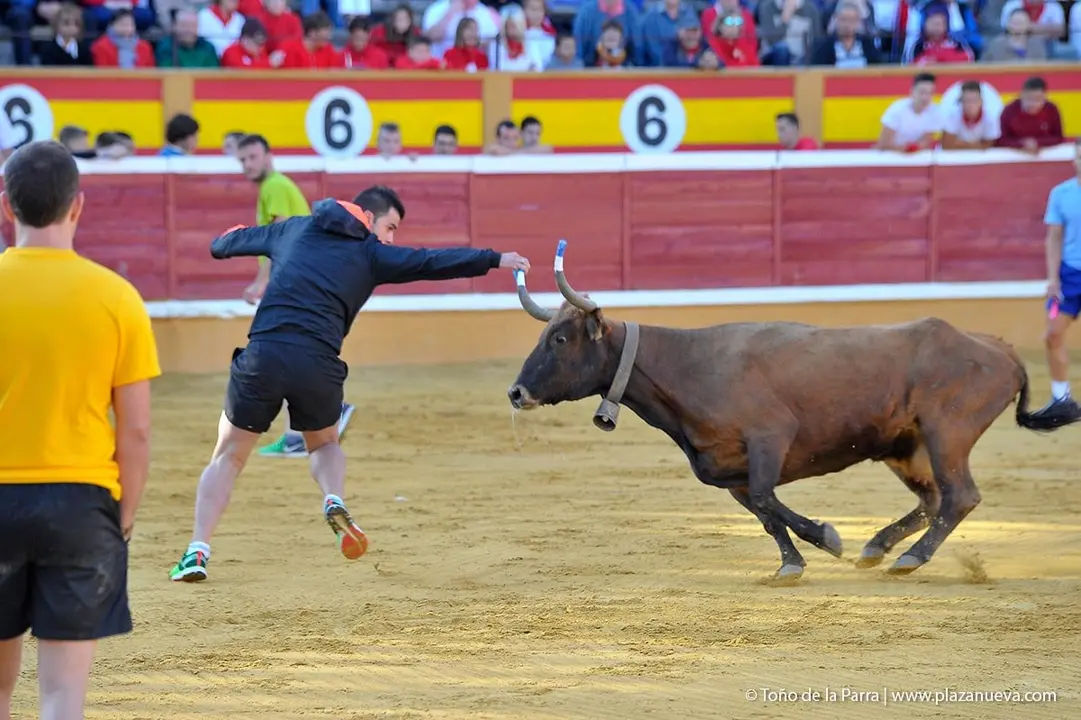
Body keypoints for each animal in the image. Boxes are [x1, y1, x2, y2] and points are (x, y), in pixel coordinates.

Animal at [507, 241, 1081, 582]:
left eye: (560, 339)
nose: (516, 393)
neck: (686, 366)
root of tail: (998, 348)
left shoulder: (770, 437)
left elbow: (769, 499)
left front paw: (827, 539)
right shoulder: (727, 469)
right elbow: (765, 514)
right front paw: (792, 564)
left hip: (948, 433)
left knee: (959, 496)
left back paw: (908, 558)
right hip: (906, 446)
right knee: (935, 498)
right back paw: (878, 547)